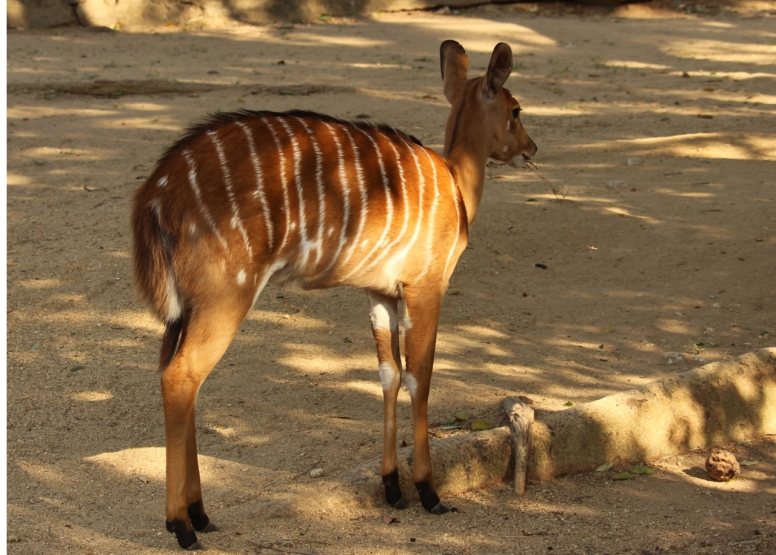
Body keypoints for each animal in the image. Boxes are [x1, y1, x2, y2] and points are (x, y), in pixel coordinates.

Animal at [132, 41, 532, 548]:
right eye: (516, 110)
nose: (532, 149)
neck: (455, 184)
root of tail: (155, 195)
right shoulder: (426, 285)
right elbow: (420, 377)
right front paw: (428, 492)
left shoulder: (380, 293)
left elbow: (388, 374)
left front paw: (392, 488)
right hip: (224, 295)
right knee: (181, 376)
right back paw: (182, 526)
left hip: (185, 311)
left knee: (181, 378)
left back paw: (201, 514)